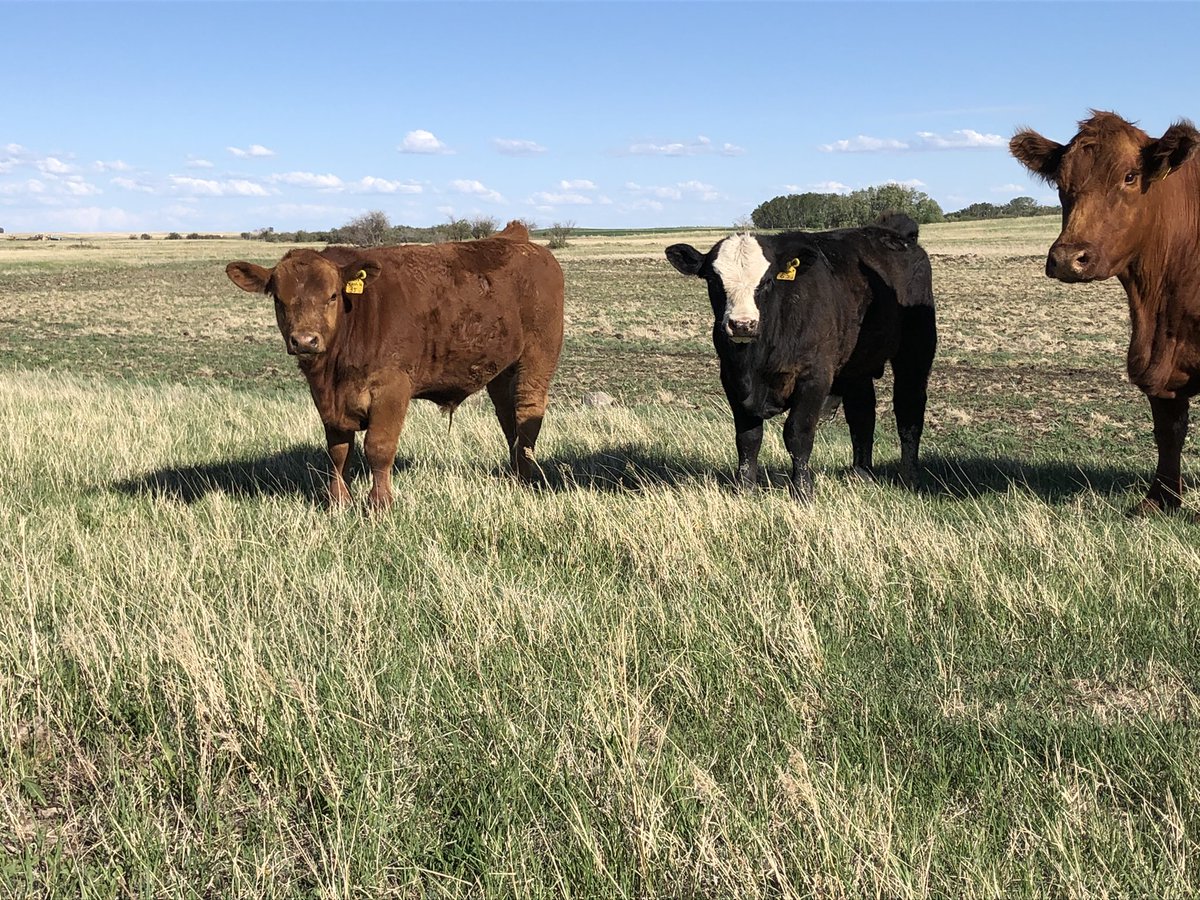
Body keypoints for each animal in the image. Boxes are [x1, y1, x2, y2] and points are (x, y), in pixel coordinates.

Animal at [226, 221, 564, 510]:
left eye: (332, 296)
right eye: (278, 300)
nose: (305, 341)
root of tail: (516, 240)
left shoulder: (392, 389)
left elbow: (378, 447)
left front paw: (380, 504)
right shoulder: (327, 401)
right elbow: (338, 451)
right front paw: (338, 502)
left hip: (537, 358)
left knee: (528, 411)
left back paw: (524, 480)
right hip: (501, 371)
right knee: (508, 419)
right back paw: (514, 474)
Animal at [665, 214, 936, 500]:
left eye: (767, 281)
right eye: (714, 281)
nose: (742, 324)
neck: (756, 361)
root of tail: (897, 234)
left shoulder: (814, 376)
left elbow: (798, 433)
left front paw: (803, 490)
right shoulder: (732, 378)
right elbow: (748, 437)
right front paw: (745, 488)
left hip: (916, 350)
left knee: (909, 409)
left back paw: (909, 475)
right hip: (856, 367)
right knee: (862, 413)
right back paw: (861, 473)